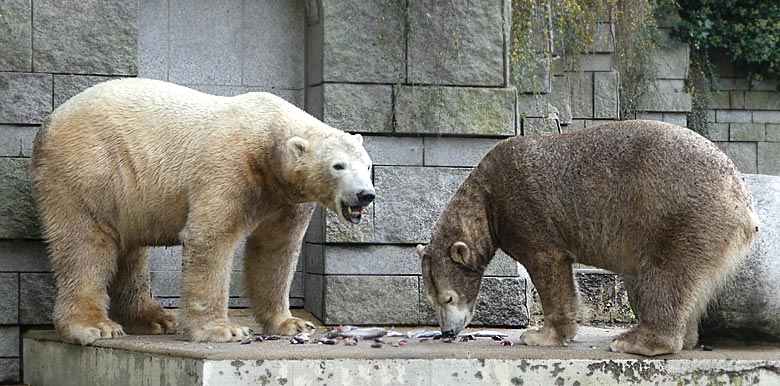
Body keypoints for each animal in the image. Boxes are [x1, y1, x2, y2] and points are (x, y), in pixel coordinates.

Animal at [35, 77, 376, 344]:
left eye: (368, 165)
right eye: (338, 165)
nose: (366, 195)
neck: (267, 140)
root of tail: (49, 123)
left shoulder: (286, 197)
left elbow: (276, 250)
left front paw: (292, 322)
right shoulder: (229, 168)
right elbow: (210, 238)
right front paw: (224, 330)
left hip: (126, 191)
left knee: (130, 252)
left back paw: (155, 319)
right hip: (91, 167)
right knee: (86, 243)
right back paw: (94, 326)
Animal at [418, 120, 760, 356]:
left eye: (448, 298)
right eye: (432, 300)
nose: (447, 332)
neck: (486, 198)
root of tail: (743, 204)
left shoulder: (524, 204)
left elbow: (549, 263)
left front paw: (539, 335)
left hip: (682, 216)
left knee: (666, 275)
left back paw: (634, 341)